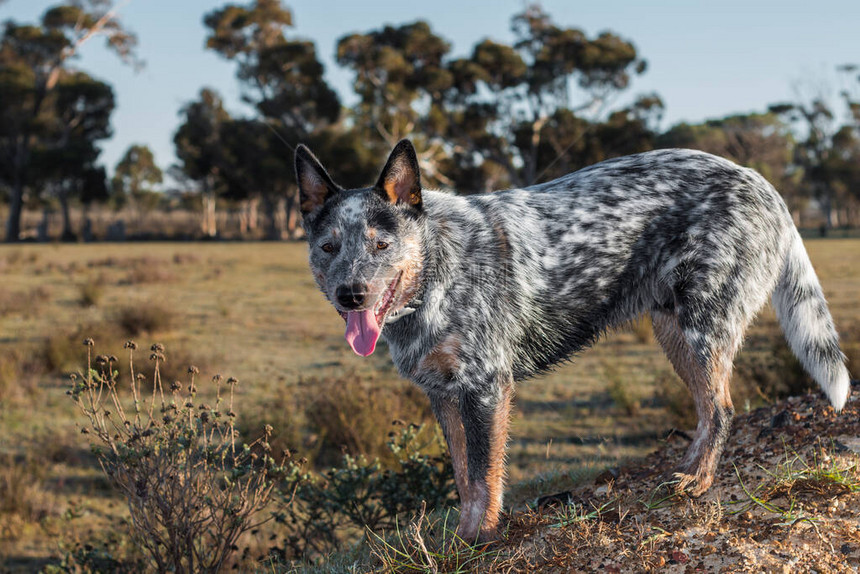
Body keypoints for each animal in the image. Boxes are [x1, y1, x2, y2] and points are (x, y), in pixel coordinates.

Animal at [296, 140, 852, 544]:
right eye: (328, 247)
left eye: (380, 244)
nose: (351, 294)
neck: (437, 268)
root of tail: (764, 185)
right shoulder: (443, 394)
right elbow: (462, 476)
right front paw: (460, 537)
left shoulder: (485, 388)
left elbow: (483, 475)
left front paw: (481, 539)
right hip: (673, 331)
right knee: (707, 409)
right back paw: (685, 471)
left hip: (704, 325)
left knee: (722, 408)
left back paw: (699, 483)